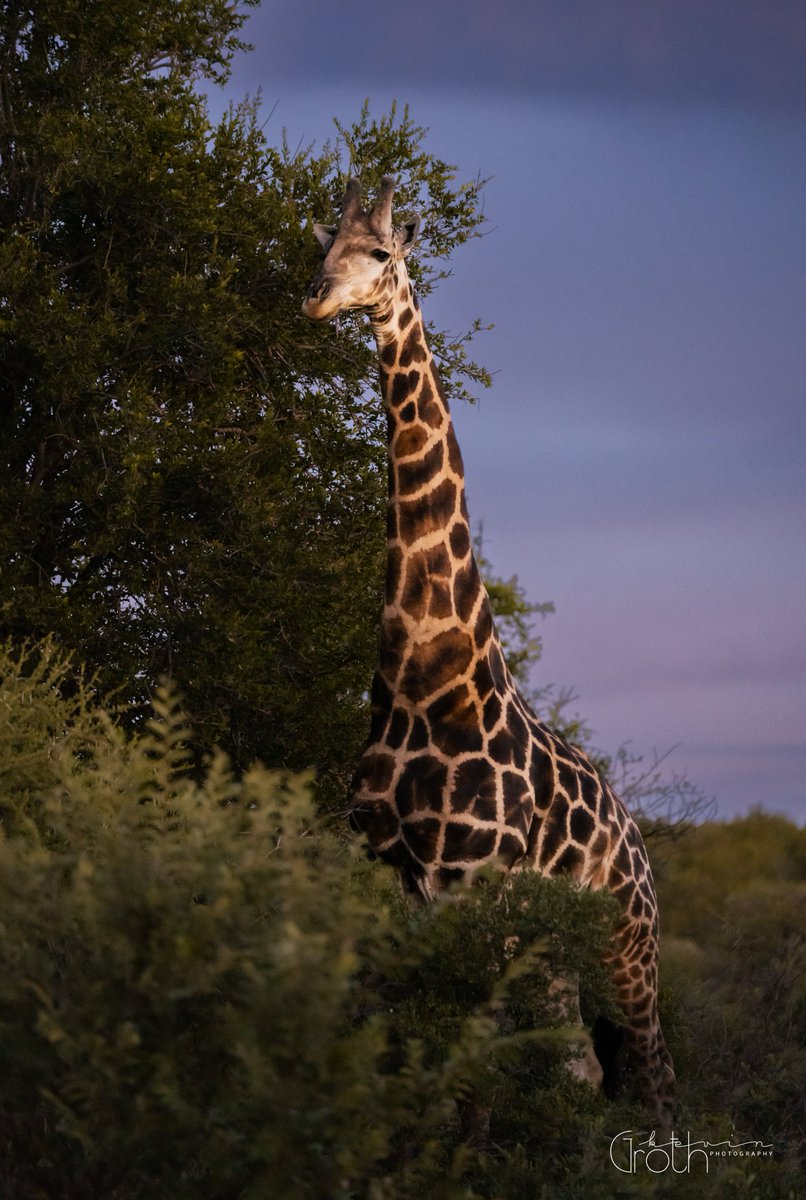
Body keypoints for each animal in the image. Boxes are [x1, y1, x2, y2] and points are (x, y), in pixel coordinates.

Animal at [302, 176, 675, 1130]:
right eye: (323, 244)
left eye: (381, 254)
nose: (319, 297)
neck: (425, 679)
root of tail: (641, 843)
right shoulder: (398, 873)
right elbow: (417, 1039)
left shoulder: (466, 876)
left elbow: (466, 1055)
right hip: (555, 945)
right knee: (583, 1065)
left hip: (626, 940)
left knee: (650, 1069)